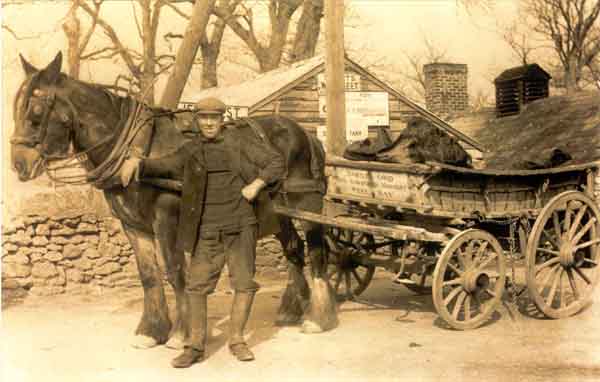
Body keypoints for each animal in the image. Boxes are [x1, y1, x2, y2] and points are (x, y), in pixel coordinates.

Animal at [11, 51, 338, 350]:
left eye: (36, 111)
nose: (18, 164)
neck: (136, 148)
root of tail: (307, 135)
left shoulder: (167, 218)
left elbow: (175, 271)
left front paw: (182, 332)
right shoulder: (133, 225)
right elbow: (149, 275)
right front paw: (151, 330)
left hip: (307, 205)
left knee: (317, 252)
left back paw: (319, 316)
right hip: (279, 212)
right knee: (294, 249)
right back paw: (292, 308)